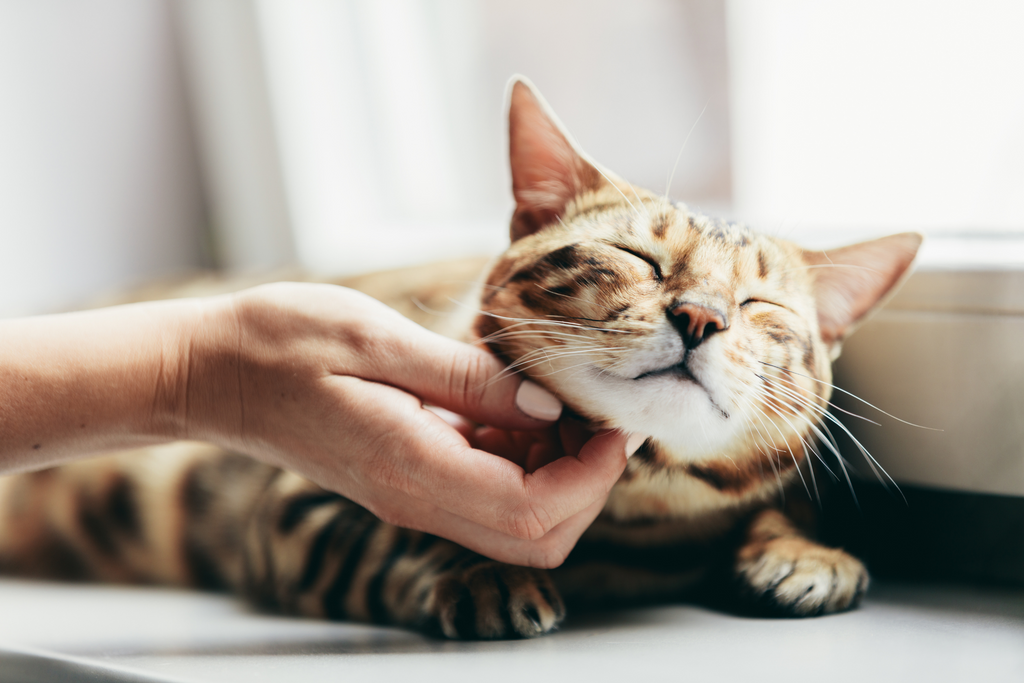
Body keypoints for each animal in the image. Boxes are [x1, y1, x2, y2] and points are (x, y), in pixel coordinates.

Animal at [0, 80, 921, 643]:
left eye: (762, 308)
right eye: (638, 258)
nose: (701, 316)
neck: (632, 518)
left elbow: (779, 501)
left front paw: (806, 551)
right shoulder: (292, 503)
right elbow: (386, 541)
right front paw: (479, 570)